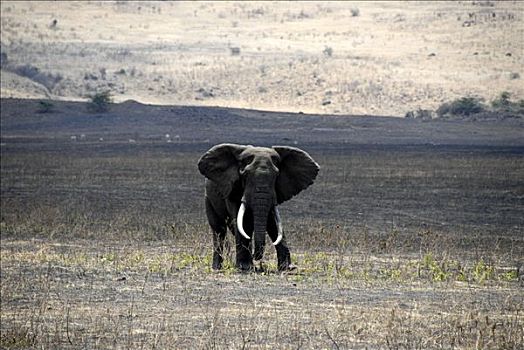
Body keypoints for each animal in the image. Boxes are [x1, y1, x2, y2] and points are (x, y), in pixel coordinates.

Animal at [196, 144, 320, 272]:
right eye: (244, 175)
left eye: (276, 176)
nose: (257, 257)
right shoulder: (233, 188)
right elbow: (242, 221)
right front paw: (245, 267)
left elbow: (272, 223)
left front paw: (288, 268)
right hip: (208, 198)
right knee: (219, 229)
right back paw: (217, 267)